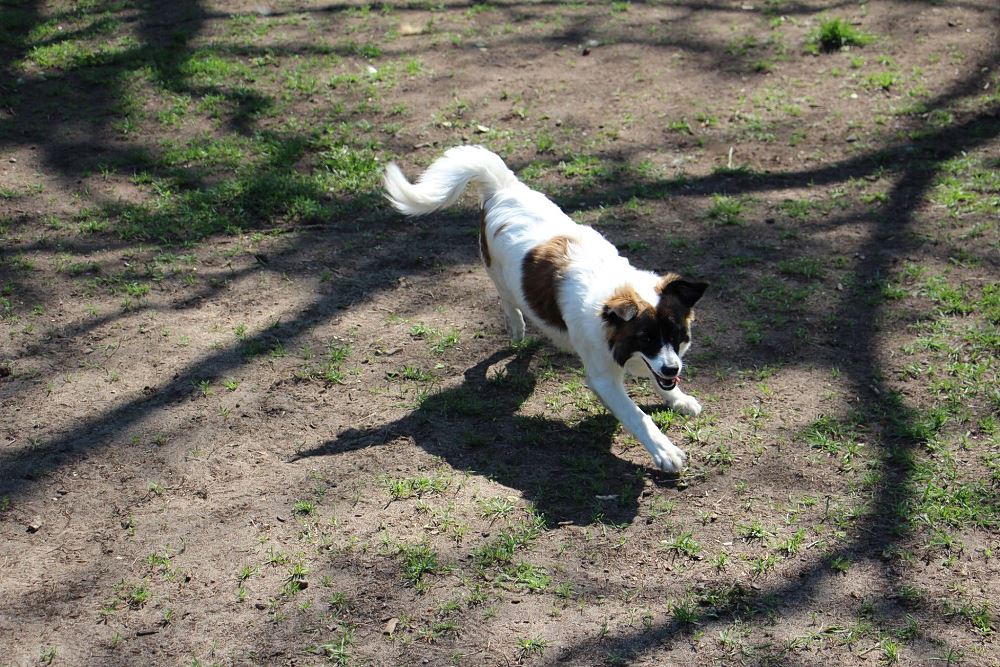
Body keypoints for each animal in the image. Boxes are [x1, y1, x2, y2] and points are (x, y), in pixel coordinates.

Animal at [383, 146, 707, 472]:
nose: (673, 368)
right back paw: (517, 327)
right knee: (508, 300)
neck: (609, 302)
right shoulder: (603, 377)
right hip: (498, 274)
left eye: (675, 333)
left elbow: (660, 382)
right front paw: (665, 451)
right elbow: (637, 417)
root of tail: (503, 187)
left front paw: (678, 399)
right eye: (646, 337)